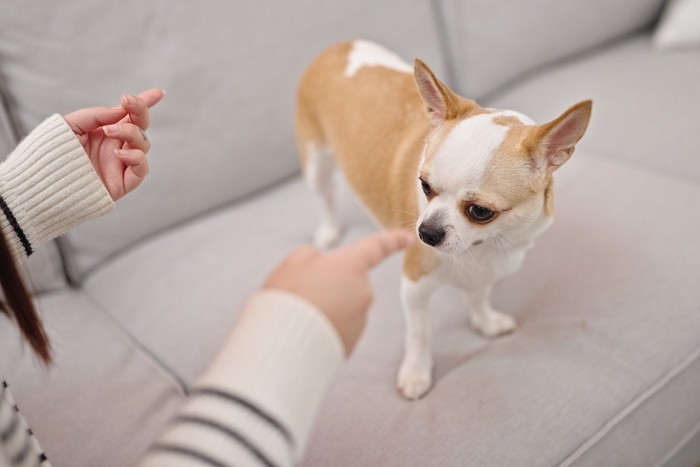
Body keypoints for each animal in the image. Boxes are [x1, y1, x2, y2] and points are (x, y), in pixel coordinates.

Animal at [294, 40, 592, 400]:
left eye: (480, 211)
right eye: (424, 186)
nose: (425, 232)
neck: (483, 248)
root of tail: (339, 45)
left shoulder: (484, 274)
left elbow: (478, 297)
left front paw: (485, 322)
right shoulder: (414, 288)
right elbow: (419, 333)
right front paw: (416, 373)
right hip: (316, 160)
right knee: (324, 196)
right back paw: (328, 230)